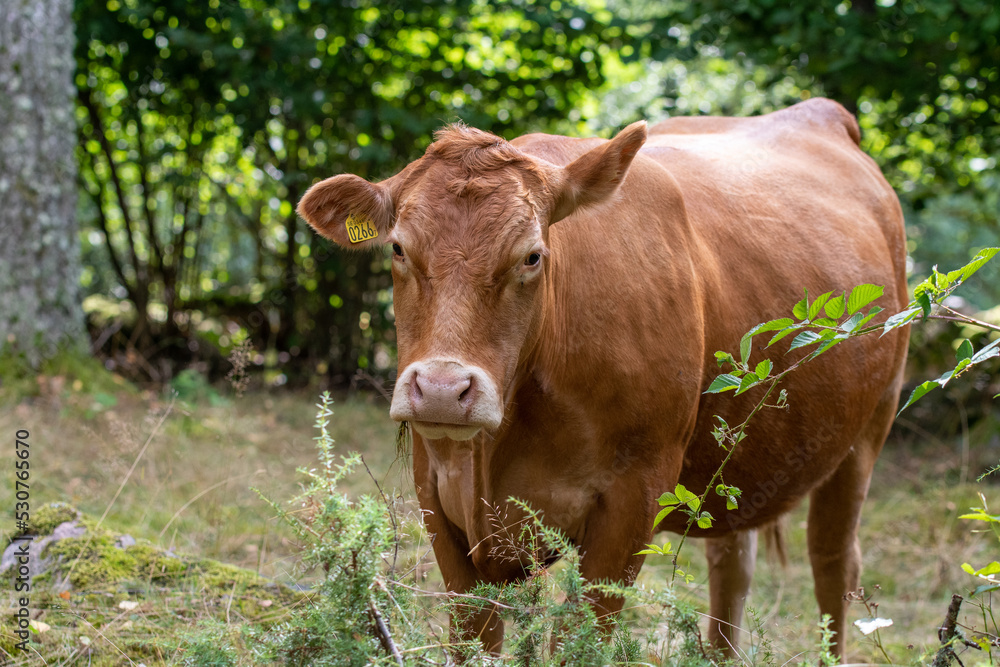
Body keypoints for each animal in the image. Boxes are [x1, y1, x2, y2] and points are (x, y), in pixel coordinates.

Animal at [294, 98, 908, 656]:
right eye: (399, 248)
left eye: (532, 256)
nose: (443, 391)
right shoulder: (438, 497)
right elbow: (476, 639)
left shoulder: (635, 496)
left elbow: (579, 640)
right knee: (732, 563)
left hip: (866, 431)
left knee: (833, 563)